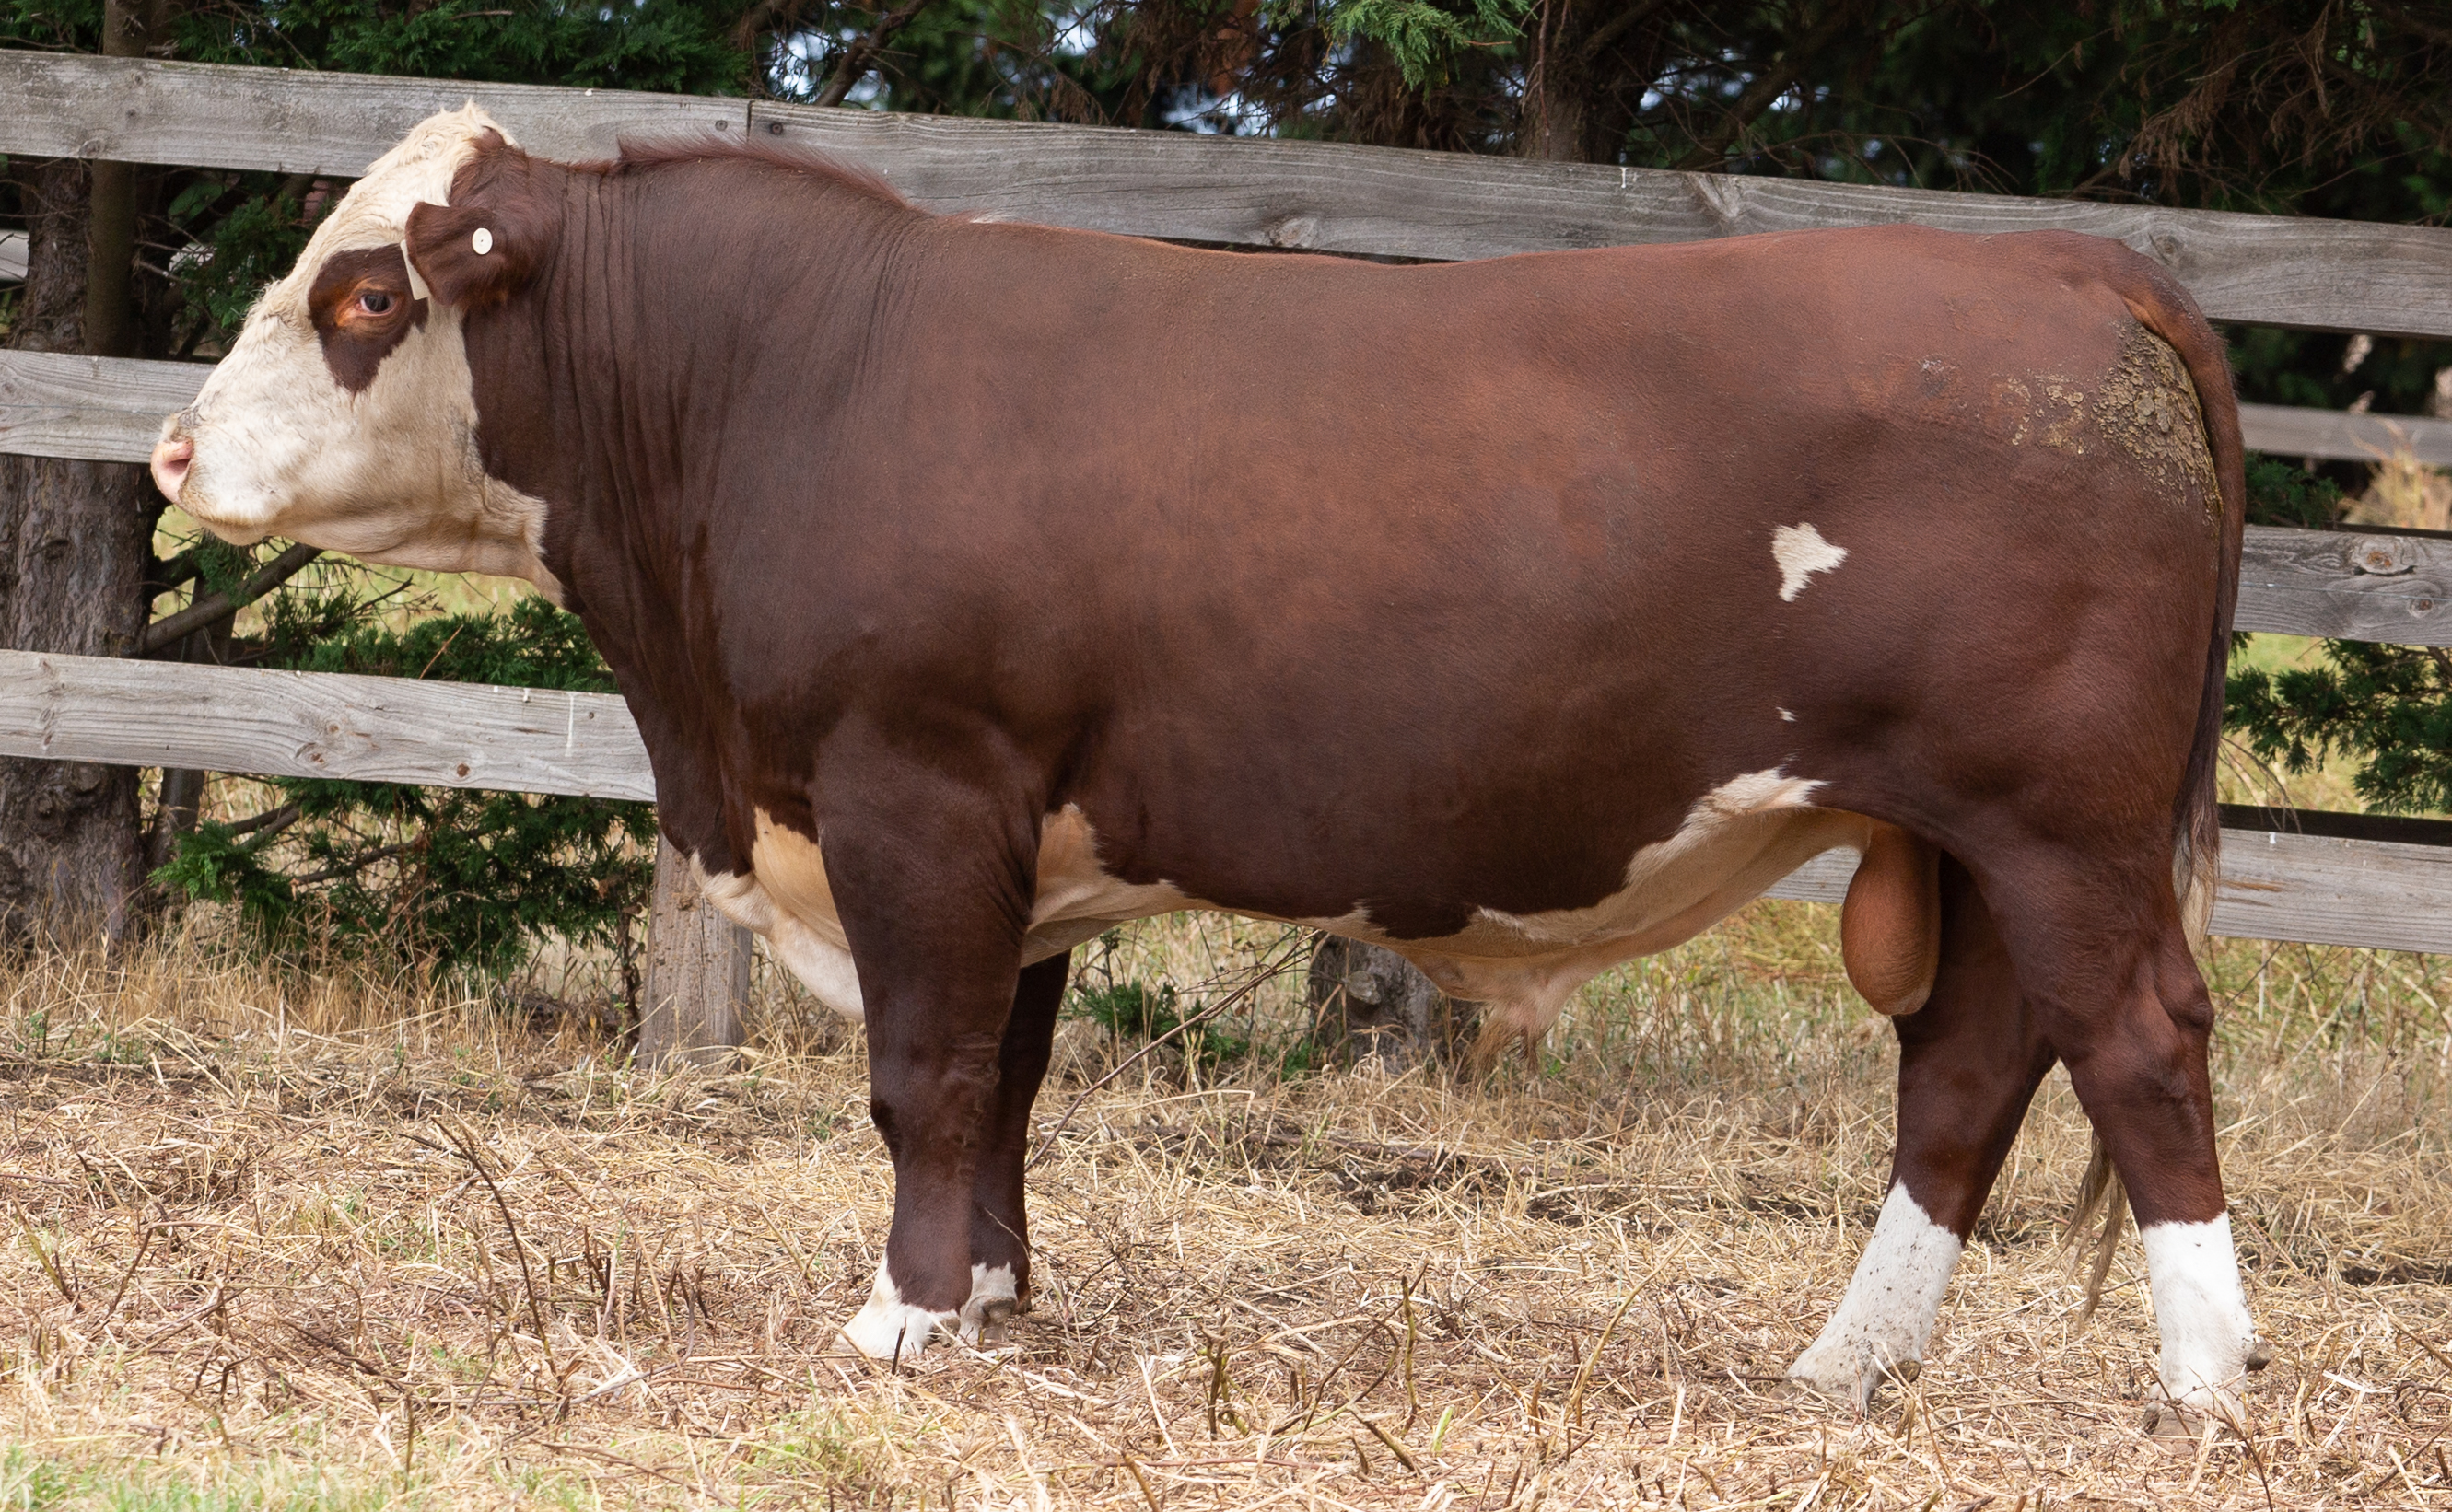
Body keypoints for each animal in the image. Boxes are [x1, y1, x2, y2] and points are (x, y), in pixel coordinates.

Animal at [150, 106, 2266, 1425]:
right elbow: (1001, 1082)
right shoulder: (1017, 830)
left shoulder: (917, 784)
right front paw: (988, 1301)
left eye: (363, 295)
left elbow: (921, 1076)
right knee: (1968, 1072)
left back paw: (2202, 1373)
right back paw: (1848, 1363)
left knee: (2139, 1040)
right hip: (1965, 838)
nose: (170, 450)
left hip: (2058, 821)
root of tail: (2064, 266)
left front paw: (898, 1318)